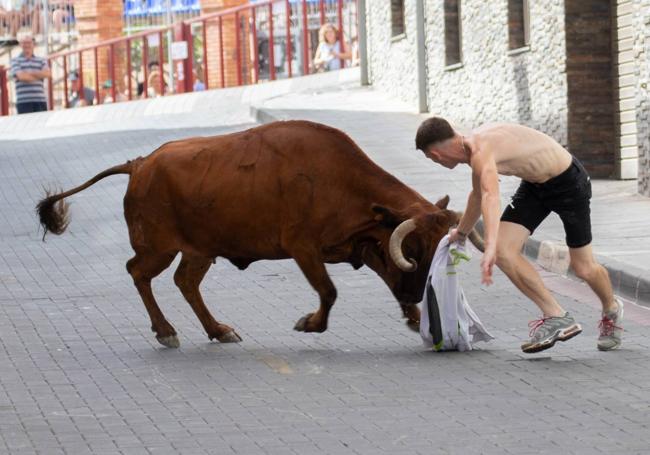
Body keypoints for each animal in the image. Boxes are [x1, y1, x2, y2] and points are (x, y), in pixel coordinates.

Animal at [36, 121, 470, 350]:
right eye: (415, 247)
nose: (418, 293)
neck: (336, 178)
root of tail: (140, 163)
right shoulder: (303, 248)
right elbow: (328, 292)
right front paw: (309, 324)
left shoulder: (363, 245)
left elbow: (380, 278)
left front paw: (413, 317)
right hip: (158, 247)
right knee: (138, 272)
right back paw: (166, 331)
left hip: (200, 250)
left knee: (185, 281)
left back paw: (218, 330)